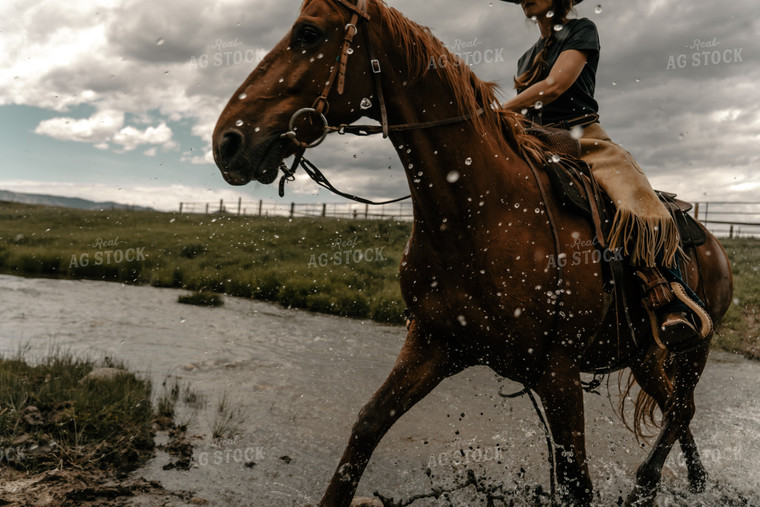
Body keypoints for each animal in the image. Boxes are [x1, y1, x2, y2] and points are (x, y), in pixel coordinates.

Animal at [211, 1, 732, 506]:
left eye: (308, 33)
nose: (227, 142)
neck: (483, 210)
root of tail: (712, 243)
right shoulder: (433, 342)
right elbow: (366, 427)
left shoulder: (558, 369)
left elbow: (576, 483)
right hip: (644, 355)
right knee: (676, 409)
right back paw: (693, 481)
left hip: (694, 348)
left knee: (682, 406)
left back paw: (648, 483)